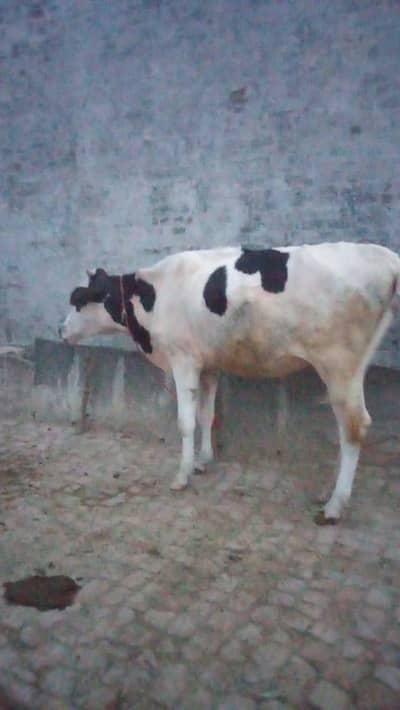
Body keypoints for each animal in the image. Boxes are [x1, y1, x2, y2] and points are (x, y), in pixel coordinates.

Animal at [60, 242, 400, 524]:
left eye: (77, 299)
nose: (60, 329)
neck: (153, 292)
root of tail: (386, 257)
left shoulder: (183, 360)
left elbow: (186, 422)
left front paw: (182, 475)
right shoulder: (209, 365)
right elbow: (206, 415)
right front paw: (203, 461)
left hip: (339, 364)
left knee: (355, 426)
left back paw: (335, 505)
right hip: (353, 366)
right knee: (346, 429)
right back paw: (329, 491)